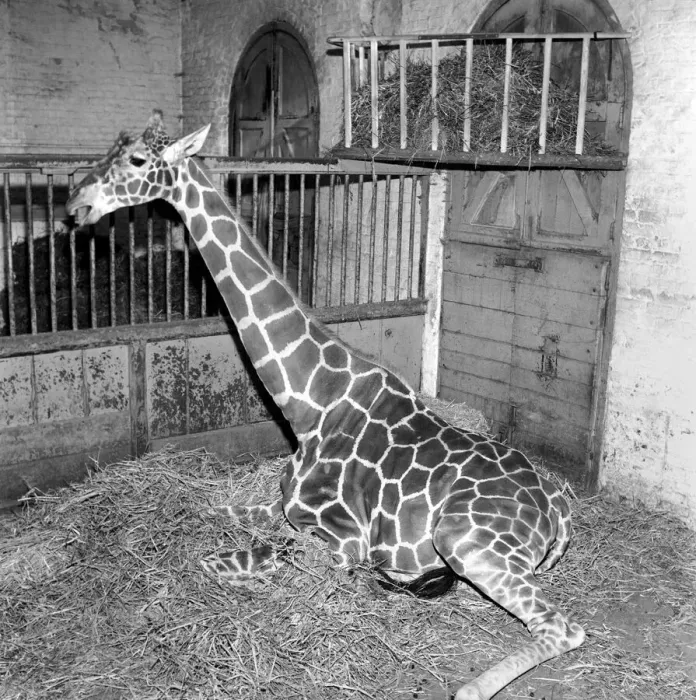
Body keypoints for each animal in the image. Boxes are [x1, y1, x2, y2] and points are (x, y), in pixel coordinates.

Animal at [66, 110, 585, 700]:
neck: (310, 405)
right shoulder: (279, 507)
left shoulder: (342, 542)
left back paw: (468, 682)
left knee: (561, 627)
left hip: (465, 540)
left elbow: (211, 561)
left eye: (135, 161)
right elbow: (207, 508)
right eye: (110, 149)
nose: (74, 202)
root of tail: (560, 507)